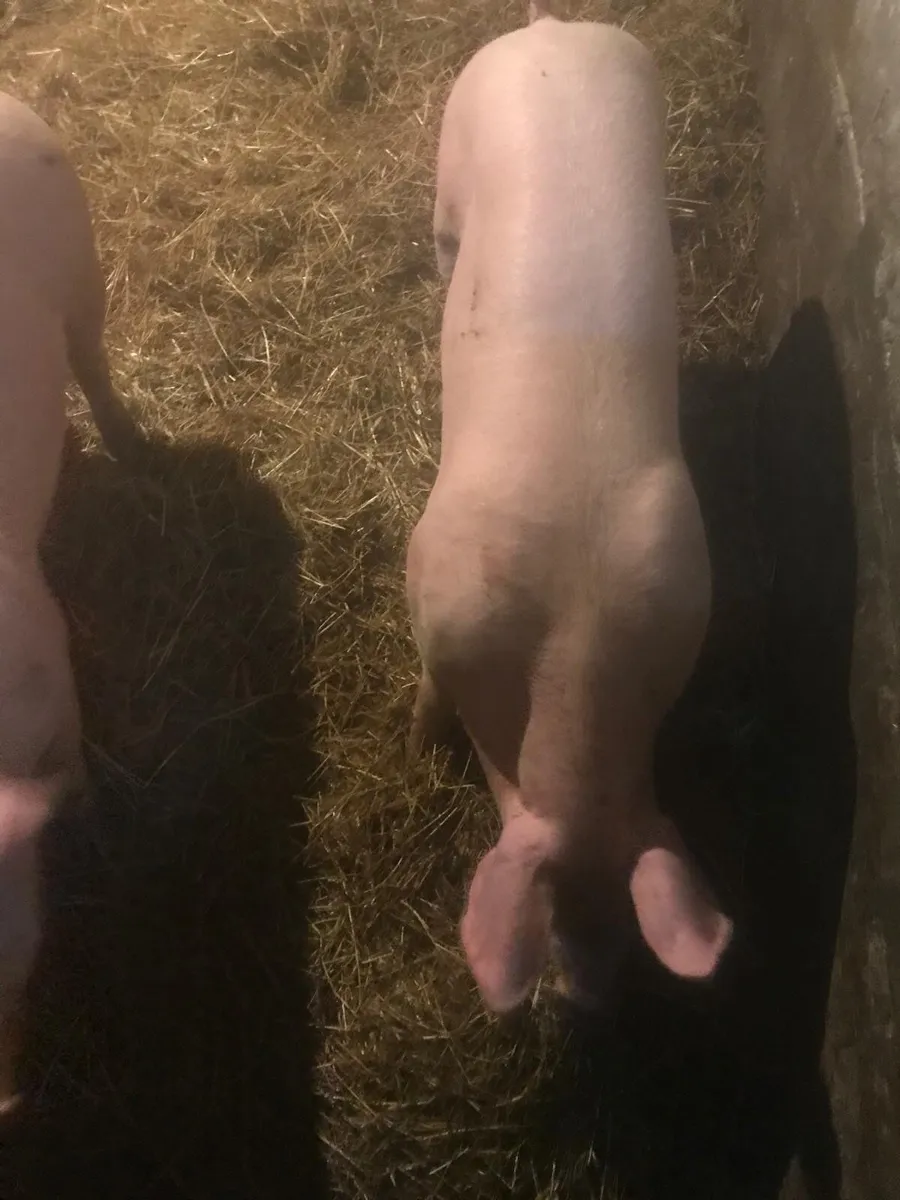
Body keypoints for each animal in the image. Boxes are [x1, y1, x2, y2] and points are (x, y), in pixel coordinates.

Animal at [405, 7, 733, 1014]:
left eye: (618, 930)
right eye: (552, 922)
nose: (588, 999)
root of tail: (548, 27)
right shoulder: (430, 574)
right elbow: (428, 689)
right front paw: (419, 743)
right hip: (455, 135)